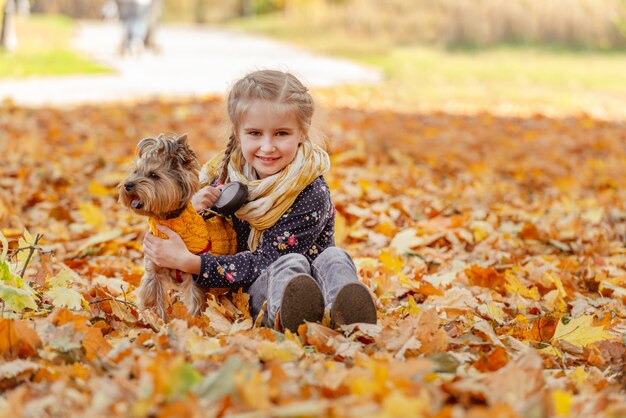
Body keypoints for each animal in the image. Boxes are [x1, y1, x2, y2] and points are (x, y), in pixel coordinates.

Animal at [118, 132, 235, 318]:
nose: (128, 185)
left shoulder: (192, 274)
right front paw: (155, 319)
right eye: (135, 172)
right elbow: (153, 296)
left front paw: (193, 320)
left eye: (153, 175)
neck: (168, 220)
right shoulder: (154, 269)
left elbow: (194, 300)